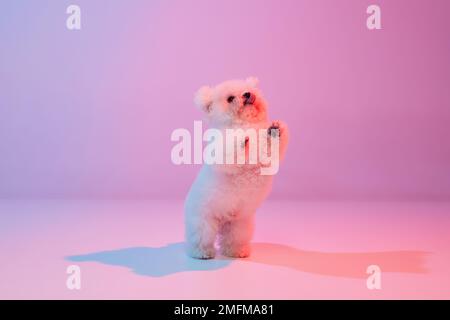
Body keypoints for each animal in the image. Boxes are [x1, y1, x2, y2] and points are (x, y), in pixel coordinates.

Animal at [185, 77, 288, 260]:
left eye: (247, 90)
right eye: (230, 98)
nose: (247, 94)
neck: (245, 123)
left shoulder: (267, 156)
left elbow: (271, 146)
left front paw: (275, 130)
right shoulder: (221, 151)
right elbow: (230, 151)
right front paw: (241, 138)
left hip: (239, 224)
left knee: (232, 239)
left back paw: (237, 251)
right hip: (203, 222)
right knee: (200, 238)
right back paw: (202, 253)